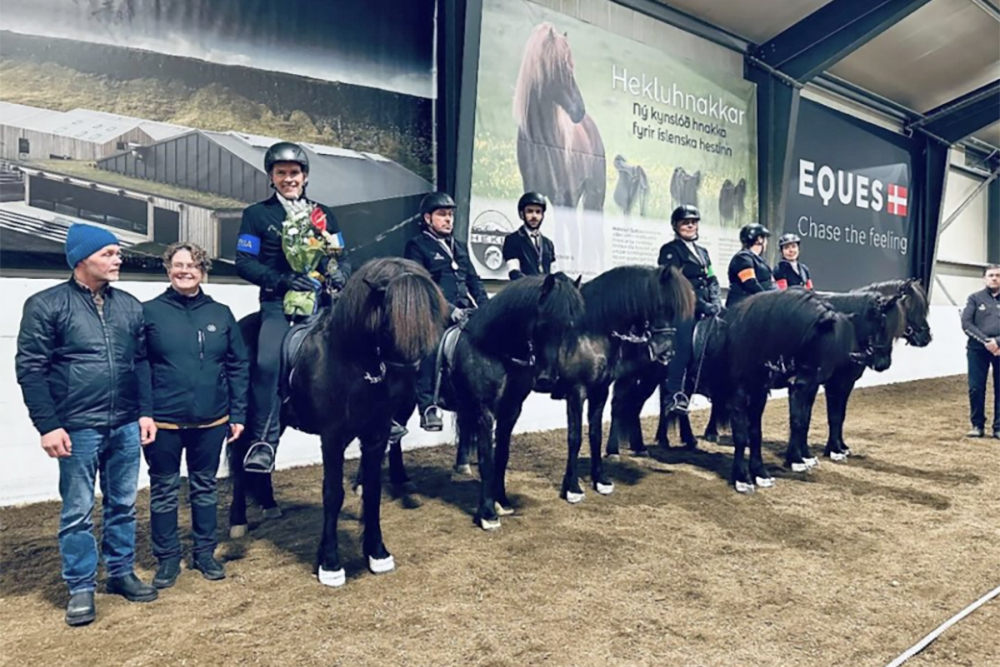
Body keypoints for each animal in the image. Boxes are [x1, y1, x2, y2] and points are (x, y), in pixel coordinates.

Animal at [229, 258, 448, 588]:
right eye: (391, 320)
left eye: (431, 319)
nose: (406, 390)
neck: (352, 363)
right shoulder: (332, 437)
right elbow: (333, 494)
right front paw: (330, 563)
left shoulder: (376, 435)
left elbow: (372, 490)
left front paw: (377, 553)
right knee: (239, 463)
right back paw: (238, 521)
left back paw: (268, 503)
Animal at [556, 264, 696, 504]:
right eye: (659, 305)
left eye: (674, 312)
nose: (666, 353)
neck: (588, 331)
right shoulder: (576, 392)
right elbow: (575, 437)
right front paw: (572, 487)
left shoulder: (600, 390)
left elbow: (594, 433)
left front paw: (600, 480)